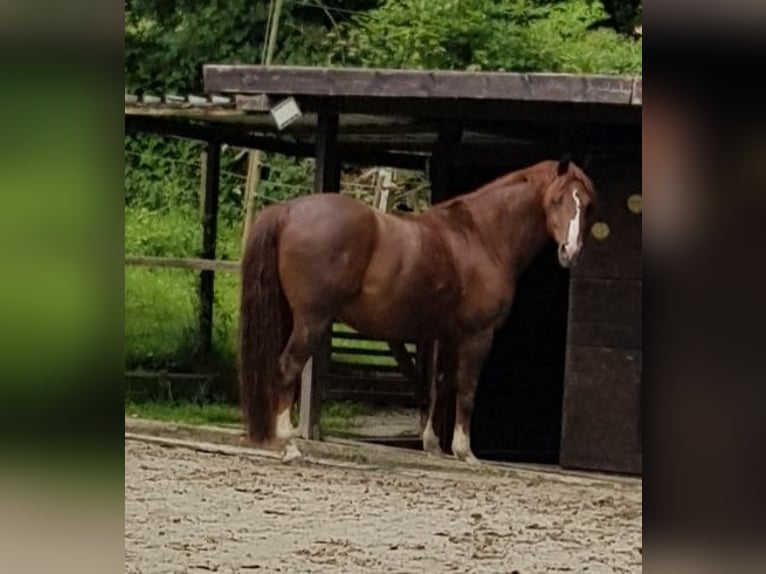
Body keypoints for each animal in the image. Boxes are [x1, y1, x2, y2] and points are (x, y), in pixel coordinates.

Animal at [242, 158, 600, 464]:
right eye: (556, 200)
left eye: (586, 204)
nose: (571, 251)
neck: (481, 238)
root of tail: (289, 210)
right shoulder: (477, 336)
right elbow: (466, 390)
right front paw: (464, 451)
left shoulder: (447, 335)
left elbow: (439, 385)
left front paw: (433, 444)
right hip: (311, 321)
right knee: (287, 367)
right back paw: (288, 445)